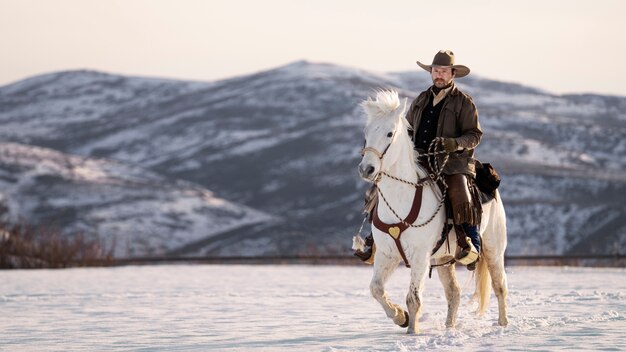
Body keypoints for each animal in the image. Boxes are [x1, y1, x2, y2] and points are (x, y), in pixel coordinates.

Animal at [356, 89, 508, 334]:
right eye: (366, 132)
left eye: (390, 133)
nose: (366, 169)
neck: (402, 199)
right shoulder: (386, 254)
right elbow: (376, 289)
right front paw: (400, 317)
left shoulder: (420, 256)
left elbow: (413, 298)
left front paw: (412, 331)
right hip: (445, 259)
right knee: (454, 293)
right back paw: (449, 328)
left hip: (494, 248)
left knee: (499, 286)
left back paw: (503, 325)